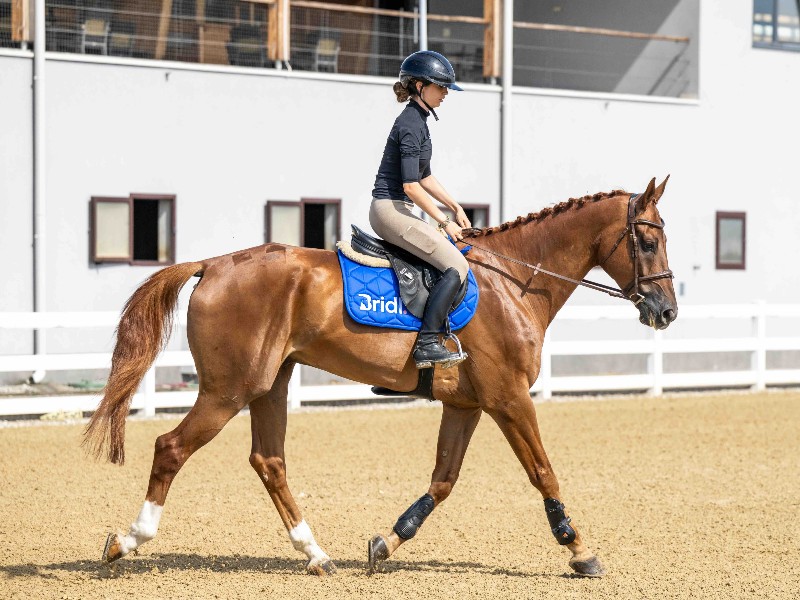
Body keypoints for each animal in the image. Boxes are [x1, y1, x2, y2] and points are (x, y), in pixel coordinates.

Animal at [84, 176, 677, 578]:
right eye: (647, 243)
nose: (666, 311)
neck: (514, 281)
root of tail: (214, 264)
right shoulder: (509, 398)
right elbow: (544, 473)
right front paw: (580, 550)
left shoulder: (467, 404)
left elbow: (443, 480)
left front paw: (387, 543)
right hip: (229, 389)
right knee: (171, 448)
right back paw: (126, 542)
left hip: (270, 384)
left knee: (269, 461)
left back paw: (317, 555)